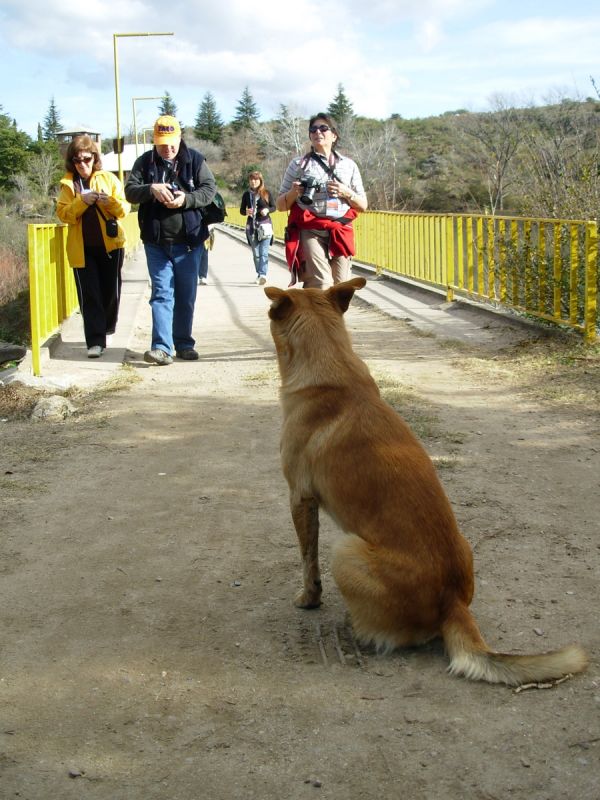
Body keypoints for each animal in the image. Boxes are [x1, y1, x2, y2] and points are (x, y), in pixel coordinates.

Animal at [264, 278, 588, 684]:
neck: (330, 363)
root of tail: (452, 603)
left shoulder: (300, 498)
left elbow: (308, 560)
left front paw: (309, 599)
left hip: (346, 551)